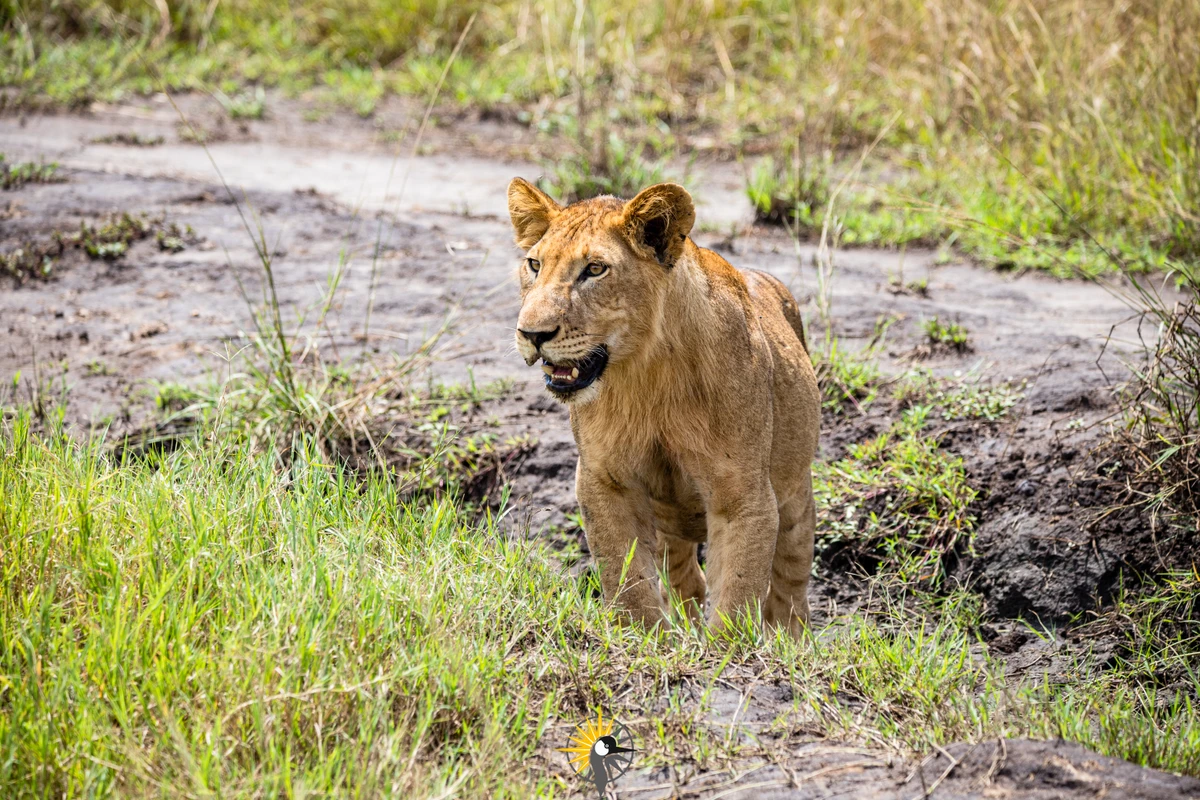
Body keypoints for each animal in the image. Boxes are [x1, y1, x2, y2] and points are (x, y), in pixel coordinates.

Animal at [506, 176, 825, 638]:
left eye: (595, 270)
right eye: (534, 265)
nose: (531, 333)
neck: (647, 374)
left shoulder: (743, 493)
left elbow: (737, 594)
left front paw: (724, 650)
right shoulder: (604, 480)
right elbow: (628, 581)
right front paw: (643, 640)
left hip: (796, 493)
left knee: (791, 581)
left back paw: (789, 637)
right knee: (686, 578)